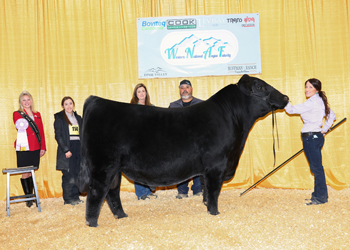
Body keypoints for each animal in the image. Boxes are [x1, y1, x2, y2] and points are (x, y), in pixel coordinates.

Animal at [78, 73, 288, 227]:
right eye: (259, 87)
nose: (285, 97)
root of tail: (96, 100)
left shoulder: (207, 169)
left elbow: (205, 189)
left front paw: (206, 206)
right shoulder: (216, 165)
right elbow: (214, 190)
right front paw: (214, 212)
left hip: (114, 169)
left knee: (112, 192)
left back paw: (121, 216)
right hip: (102, 166)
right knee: (97, 193)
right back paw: (92, 223)